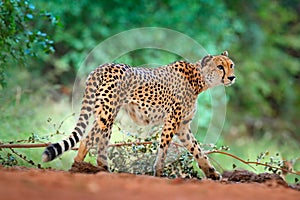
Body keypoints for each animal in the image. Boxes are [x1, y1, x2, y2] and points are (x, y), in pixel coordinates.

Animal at [42, 50, 236, 180]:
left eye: (231, 65)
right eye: (220, 67)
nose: (232, 77)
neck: (198, 79)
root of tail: (103, 66)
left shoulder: (182, 126)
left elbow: (197, 149)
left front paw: (212, 172)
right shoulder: (172, 121)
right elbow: (164, 149)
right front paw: (158, 173)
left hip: (108, 114)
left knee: (94, 142)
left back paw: (95, 170)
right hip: (107, 113)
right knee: (89, 139)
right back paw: (82, 169)